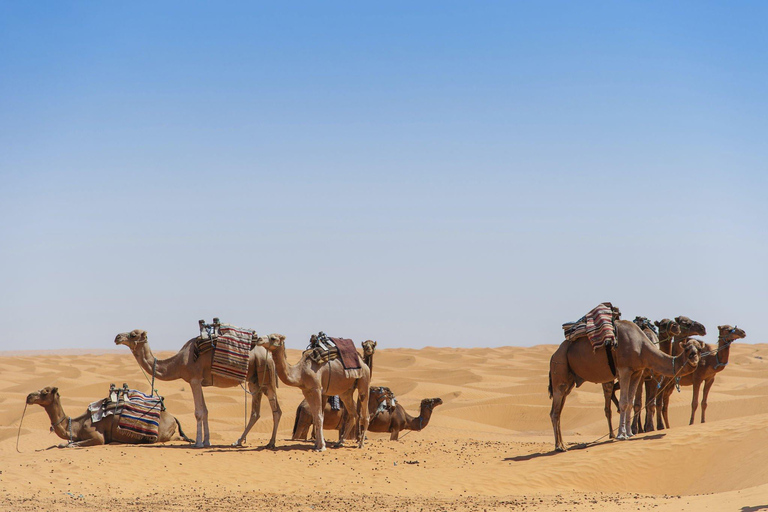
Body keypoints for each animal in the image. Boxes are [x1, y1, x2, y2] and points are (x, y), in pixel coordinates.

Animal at [25, 386, 192, 446]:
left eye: (45, 391)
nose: (29, 396)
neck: (76, 426)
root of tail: (173, 417)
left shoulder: (97, 436)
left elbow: (68, 444)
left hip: (161, 435)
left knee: (176, 437)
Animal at [114, 330, 282, 446]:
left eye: (133, 334)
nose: (117, 337)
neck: (178, 363)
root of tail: (269, 355)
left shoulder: (194, 380)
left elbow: (198, 412)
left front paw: (198, 443)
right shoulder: (199, 382)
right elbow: (206, 411)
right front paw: (207, 441)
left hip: (266, 377)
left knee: (276, 410)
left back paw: (270, 443)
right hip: (254, 381)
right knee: (256, 413)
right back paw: (239, 441)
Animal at [544, 320, 704, 452]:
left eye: (699, 350)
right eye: (688, 350)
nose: (694, 359)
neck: (641, 345)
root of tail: (554, 355)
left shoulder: (637, 372)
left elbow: (630, 402)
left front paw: (630, 432)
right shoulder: (624, 370)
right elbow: (624, 402)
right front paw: (621, 435)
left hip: (569, 380)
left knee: (559, 410)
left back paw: (562, 444)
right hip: (559, 368)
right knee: (554, 411)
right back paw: (559, 447)